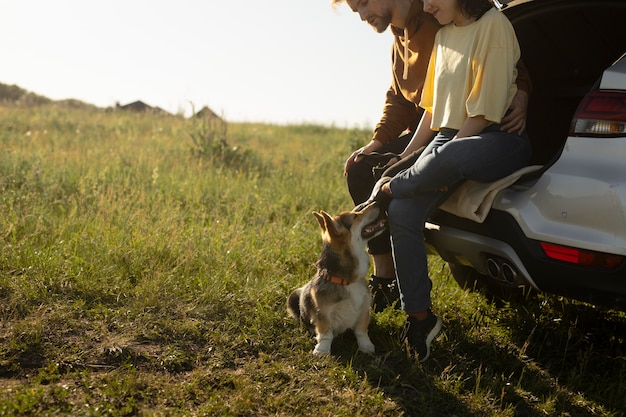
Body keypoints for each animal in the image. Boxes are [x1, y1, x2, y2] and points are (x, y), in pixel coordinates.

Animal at [286, 202, 386, 354]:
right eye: (355, 216)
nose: (377, 202)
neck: (347, 282)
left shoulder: (364, 310)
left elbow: (361, 331)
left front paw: (366, 346)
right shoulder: (322, 314)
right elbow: (325, 333)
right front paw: (322, 351)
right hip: (292, 298)